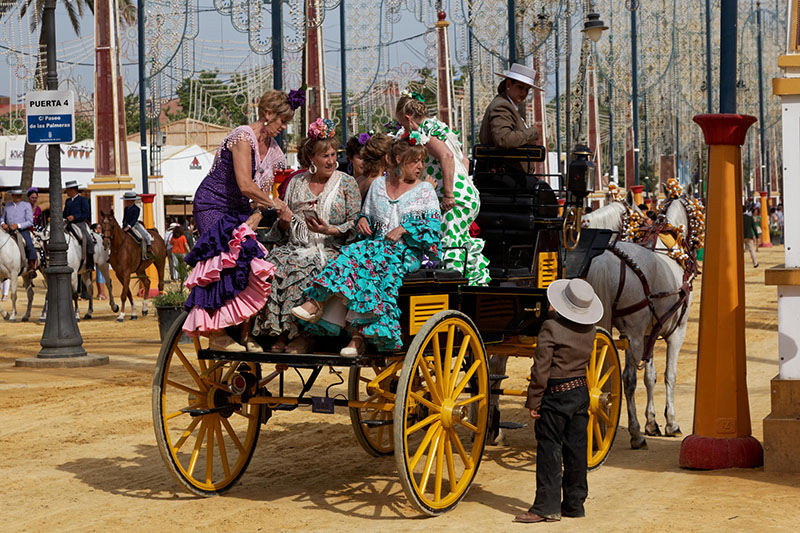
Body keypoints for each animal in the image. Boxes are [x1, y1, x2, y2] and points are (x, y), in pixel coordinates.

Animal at [584, 197, 696, 446]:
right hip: (633, 333)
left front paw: (652, 422)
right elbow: (669, 376)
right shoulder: (677, 331)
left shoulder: (648, 332)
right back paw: (634, 434)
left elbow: (650, 377)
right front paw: (671, 423)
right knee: (627, 378)